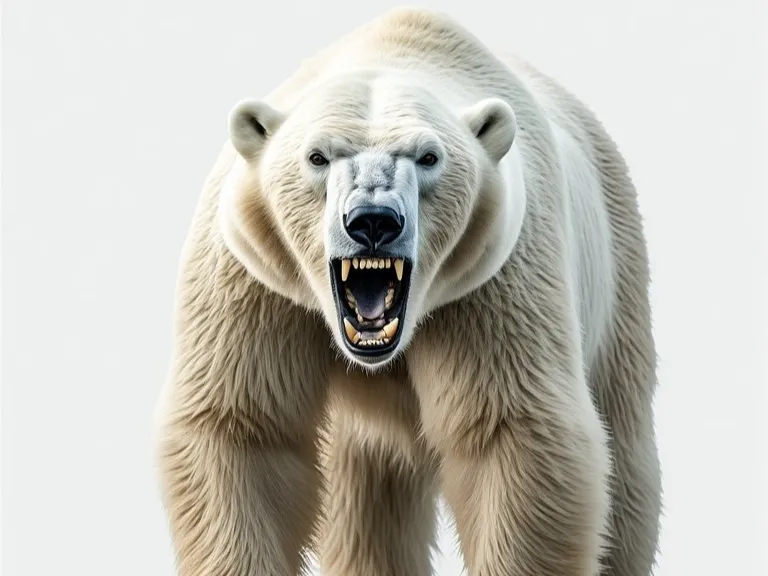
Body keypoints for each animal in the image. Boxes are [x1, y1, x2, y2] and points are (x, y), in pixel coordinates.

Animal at [154, 6, 662, 576]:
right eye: (317, 156)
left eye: (428, 156)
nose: (373, 220)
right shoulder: (254, 278)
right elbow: (244, 430)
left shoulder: (496, 279)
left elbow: (513, 434)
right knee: (366, 494)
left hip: (618, 264)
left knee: (625, 449)